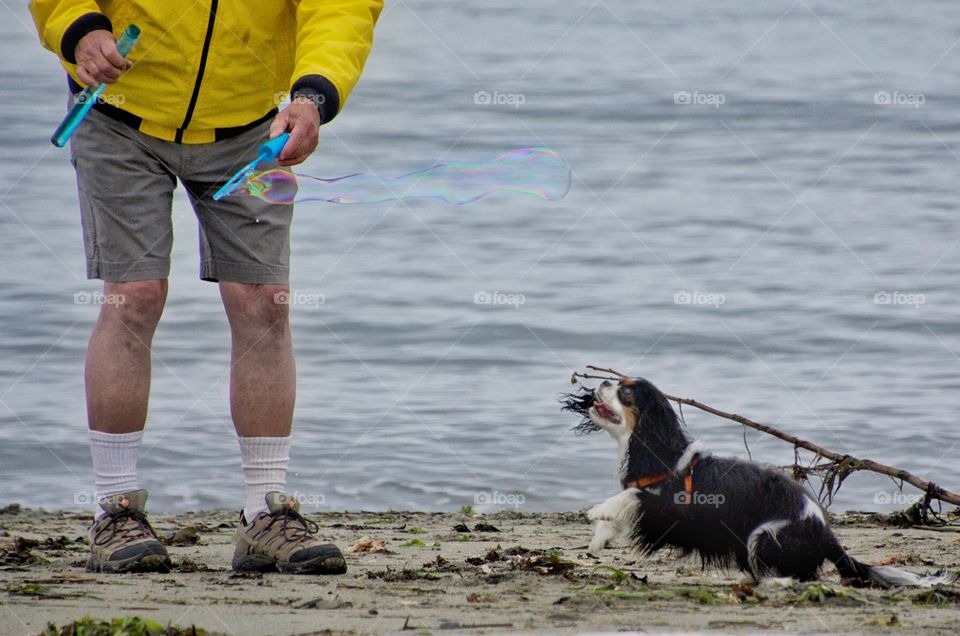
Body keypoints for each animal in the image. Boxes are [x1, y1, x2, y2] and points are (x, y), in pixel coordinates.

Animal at [564, 376, 952, 588]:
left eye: (626, 393)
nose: (603, 381)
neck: (663, 452)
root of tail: (829, 537)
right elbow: (624, 509)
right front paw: (598, 540)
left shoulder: (671, 508)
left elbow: (631, 498)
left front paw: (597, 512)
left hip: (764, 536)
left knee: (801, 577)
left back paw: (771, 583)